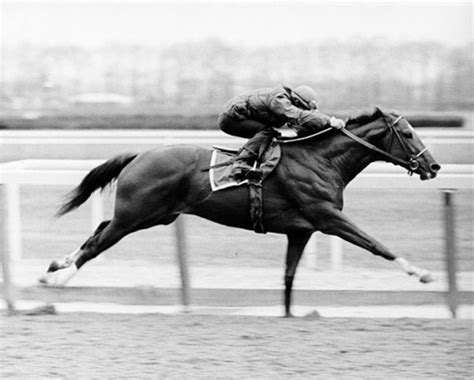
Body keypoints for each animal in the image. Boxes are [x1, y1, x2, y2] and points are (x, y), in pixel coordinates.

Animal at [39, 107, 440, 318]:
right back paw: (60, 278)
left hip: (154, 214)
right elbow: (376, 244)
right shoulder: (327, 217)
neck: (321, 160)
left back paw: (56, 266)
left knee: (100, 228)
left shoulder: (301, 230)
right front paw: (421, 272)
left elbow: (288, 276)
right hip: (136, 215)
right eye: (407, 133)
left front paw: (288, 313)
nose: (433, 166)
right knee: (99, 242)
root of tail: (139, 154)